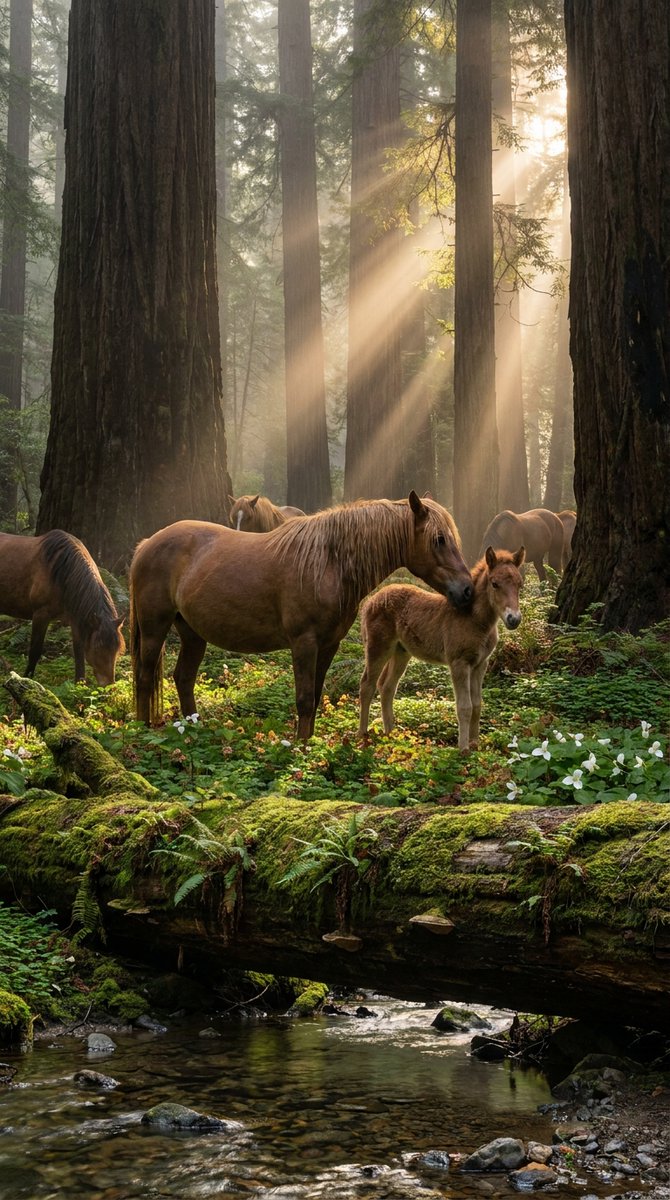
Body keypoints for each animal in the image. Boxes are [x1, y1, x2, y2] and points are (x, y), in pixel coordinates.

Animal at [0, 529, 125, 684]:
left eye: (117, 649)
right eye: (98, 648)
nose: (108, 685)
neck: (61, 572)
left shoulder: (77, 621)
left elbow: (79, 654)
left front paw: (80, 684)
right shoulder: (41, 615)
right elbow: (35, 651)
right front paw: (27, 679)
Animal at [129, 491, 473, 740]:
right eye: (439, 539)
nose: (467, 590)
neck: (329, 562)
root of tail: (147, 543)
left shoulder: (329, 645)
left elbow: (316, 698)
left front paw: (308, 743)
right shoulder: (304, 643)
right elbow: (304, 699)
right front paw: (299, 748)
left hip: (192, 634)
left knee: (183, 678)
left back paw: (194, 730)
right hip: (154, 628)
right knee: (145, 677)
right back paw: (143, 731)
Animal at [358, 546, 525, 751]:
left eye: (520, 584)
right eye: (494, 584)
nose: (513, 619)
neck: (474, 620)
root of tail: (370, 601)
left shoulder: (480, 664)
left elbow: (477, 705)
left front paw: (475, 745)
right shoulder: (459, 663)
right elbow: (464, 706)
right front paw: (463, 749)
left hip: (400, 652)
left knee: (387, 687)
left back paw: (391, 734)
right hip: (377, 647)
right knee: (367, 685)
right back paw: (362, 735)